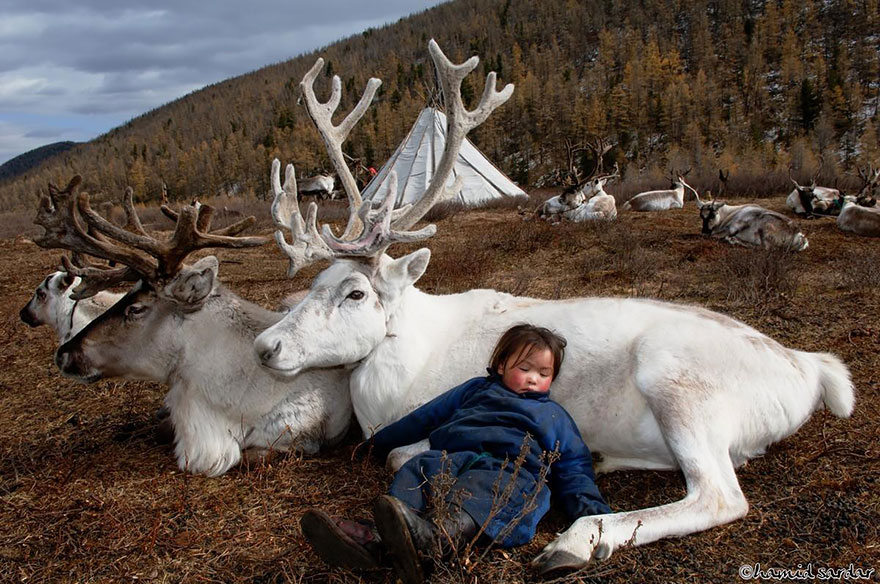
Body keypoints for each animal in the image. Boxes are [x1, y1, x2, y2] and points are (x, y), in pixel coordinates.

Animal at [252, 40, 854, 572]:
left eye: (355, 292)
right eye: (314, 283)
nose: (265, 346)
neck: (401, 368)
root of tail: (810, 370)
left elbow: (404, 454)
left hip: (678, 384)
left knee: (720, 496)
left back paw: (577, 541)